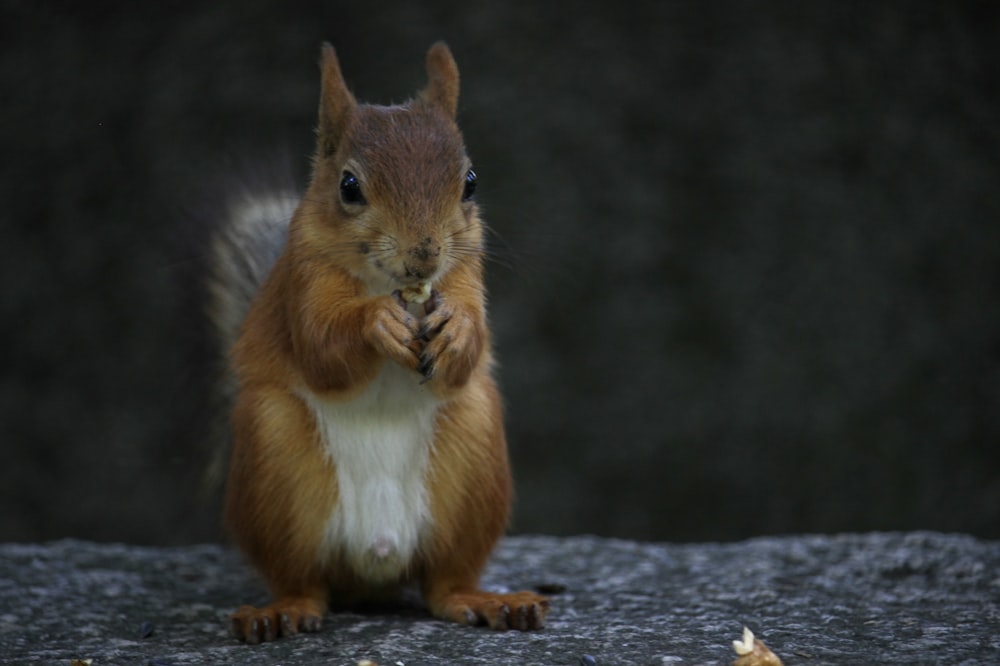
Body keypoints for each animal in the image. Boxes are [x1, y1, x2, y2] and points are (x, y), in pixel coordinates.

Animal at [208, 40, 552, 640]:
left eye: (470, 182)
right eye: (349, 186)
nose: (425, 254)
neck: (391, 286)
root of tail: (377, 560)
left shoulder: (467, 273)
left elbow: (472, 346)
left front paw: (459, 328)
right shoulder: (303, 280)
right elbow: (321, 348)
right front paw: (377, 323)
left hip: (473, 456)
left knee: (445, 583)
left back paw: (489, 601)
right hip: (275, 461)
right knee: (303, 581)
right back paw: (281, 611)